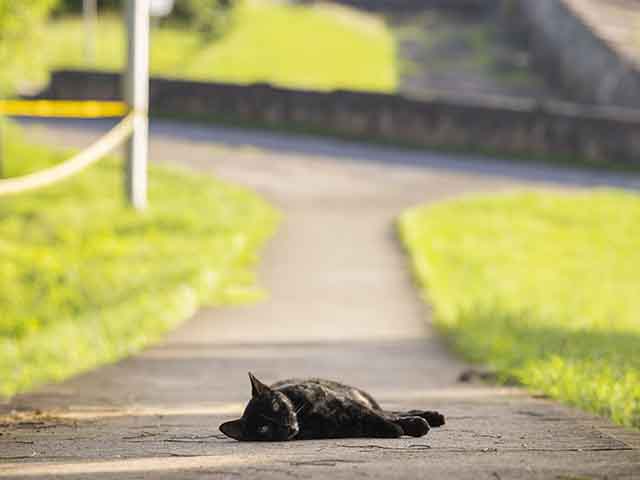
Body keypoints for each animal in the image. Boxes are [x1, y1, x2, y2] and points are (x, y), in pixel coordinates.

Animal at [220, 372, 444, 442]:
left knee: (389, 412)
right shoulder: (345, 426)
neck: (306, 417)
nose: (285, 426)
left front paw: (412, 425)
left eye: (276, 406)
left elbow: (374, 416)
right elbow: (373, 424)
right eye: (263, 428)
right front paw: (396, 429)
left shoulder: (347, 404)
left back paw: (432, 416)